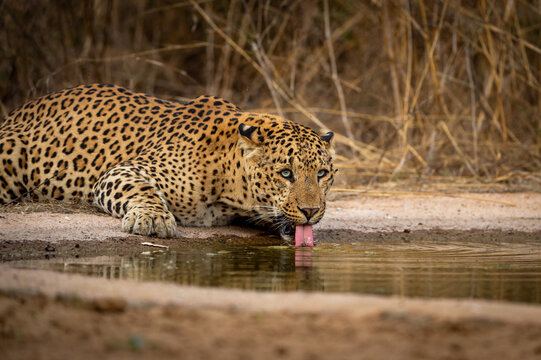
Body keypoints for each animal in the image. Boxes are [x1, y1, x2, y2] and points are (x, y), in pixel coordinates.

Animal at [0, 84, 336, 240]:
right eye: (285, 173)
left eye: (322, 174)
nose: (311, 211)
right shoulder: (125, 170)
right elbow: (142, 190)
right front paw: (153, 219)